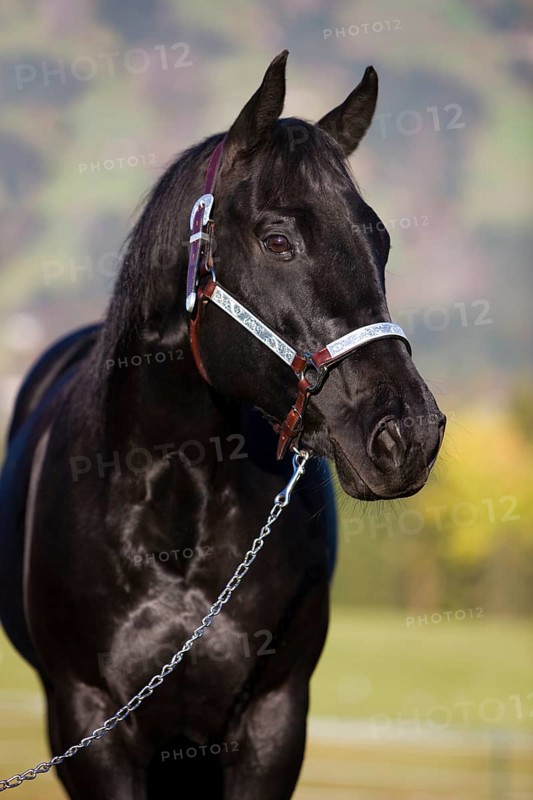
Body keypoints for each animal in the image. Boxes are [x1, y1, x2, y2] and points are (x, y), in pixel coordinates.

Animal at [0, 51, 445, 799]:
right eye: (277, 240)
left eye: (380, 239)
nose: (408, 434)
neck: (173, 521)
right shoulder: (88, 724)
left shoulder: (271, 719)